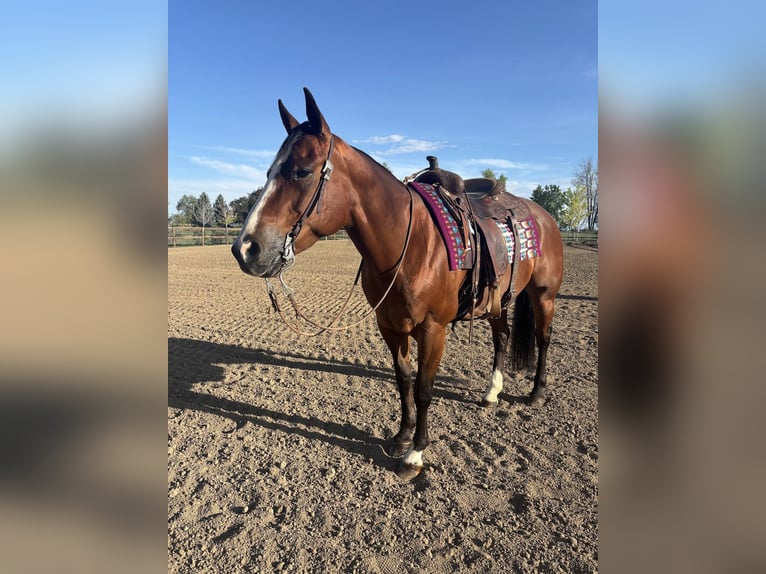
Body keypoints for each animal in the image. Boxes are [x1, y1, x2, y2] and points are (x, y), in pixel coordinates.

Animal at [232, 88, 563, 480]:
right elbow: (403, 379)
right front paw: (402, 437)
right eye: (269, 171)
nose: (245, 248)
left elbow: (423, 388)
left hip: (544, 296)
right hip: (497, 300)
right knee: (502, 336)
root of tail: (542, 215)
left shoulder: (433, 329)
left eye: (302, 171)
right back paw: (492, 392)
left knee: (543, 338)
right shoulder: (389, 326)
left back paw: (537, 392)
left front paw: (415, 453)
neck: (410, 244)